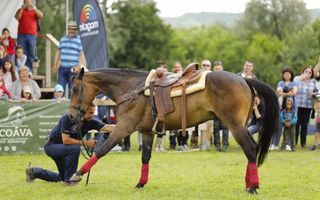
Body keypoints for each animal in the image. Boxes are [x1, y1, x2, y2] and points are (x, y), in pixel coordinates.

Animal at [69, 67, 278, 194]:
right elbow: (145, 157)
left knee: (250, 149)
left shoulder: (123, 127)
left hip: (235, 126)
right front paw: (141, 183)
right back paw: (249, 184)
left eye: (74, 89)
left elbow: (102, 150)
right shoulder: (146, 132)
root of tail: (244, 80)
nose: (71, 116)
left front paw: (77, 174)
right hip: (240, 126)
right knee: (253, 148)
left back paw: (253, 186)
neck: (131, 89)